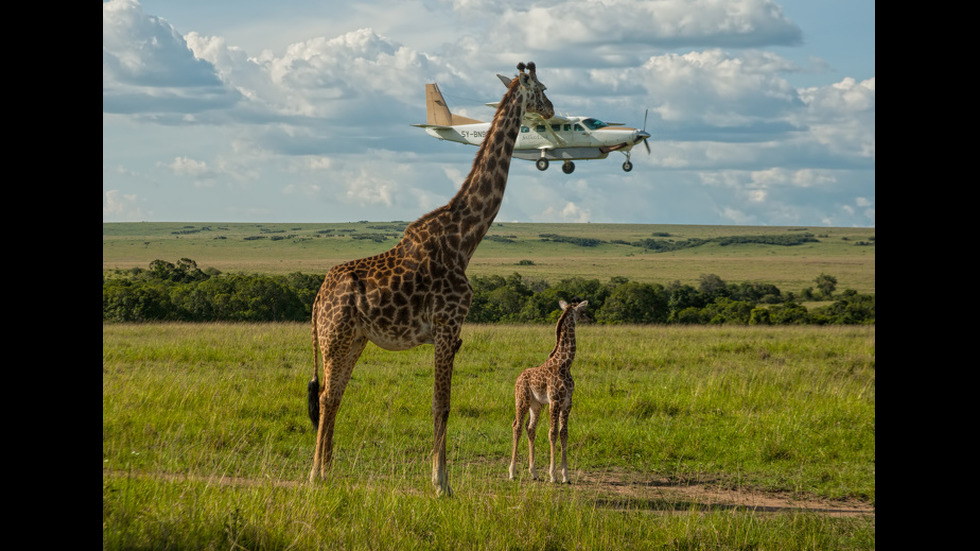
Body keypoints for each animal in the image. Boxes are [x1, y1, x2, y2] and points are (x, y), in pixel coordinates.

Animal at [306, 60, 552, 496]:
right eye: (540, 88)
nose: (553, 110)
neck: (465, 239)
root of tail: (319, 297)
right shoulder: (446, 326)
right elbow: (443, 404)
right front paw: (441, 484)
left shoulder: (451, 332)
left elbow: (441, 404)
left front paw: (439, 479)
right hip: (334, 338)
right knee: (326, 398)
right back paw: (317, 475)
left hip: (353, 339)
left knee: (334, 397)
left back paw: (328, 472)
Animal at [510, 298, 584, 484]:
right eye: (582, 310)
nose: (589, 318)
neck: (565, 365)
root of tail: (517, 378)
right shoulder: (555, 402)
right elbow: (552, 433)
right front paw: (553, 475)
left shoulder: (567, 403)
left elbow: (564, 433)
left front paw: (566, 476)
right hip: (522, 400)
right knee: (517, 426)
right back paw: (512, 472)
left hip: (536, 405)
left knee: (530, 428)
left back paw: (534, 473)